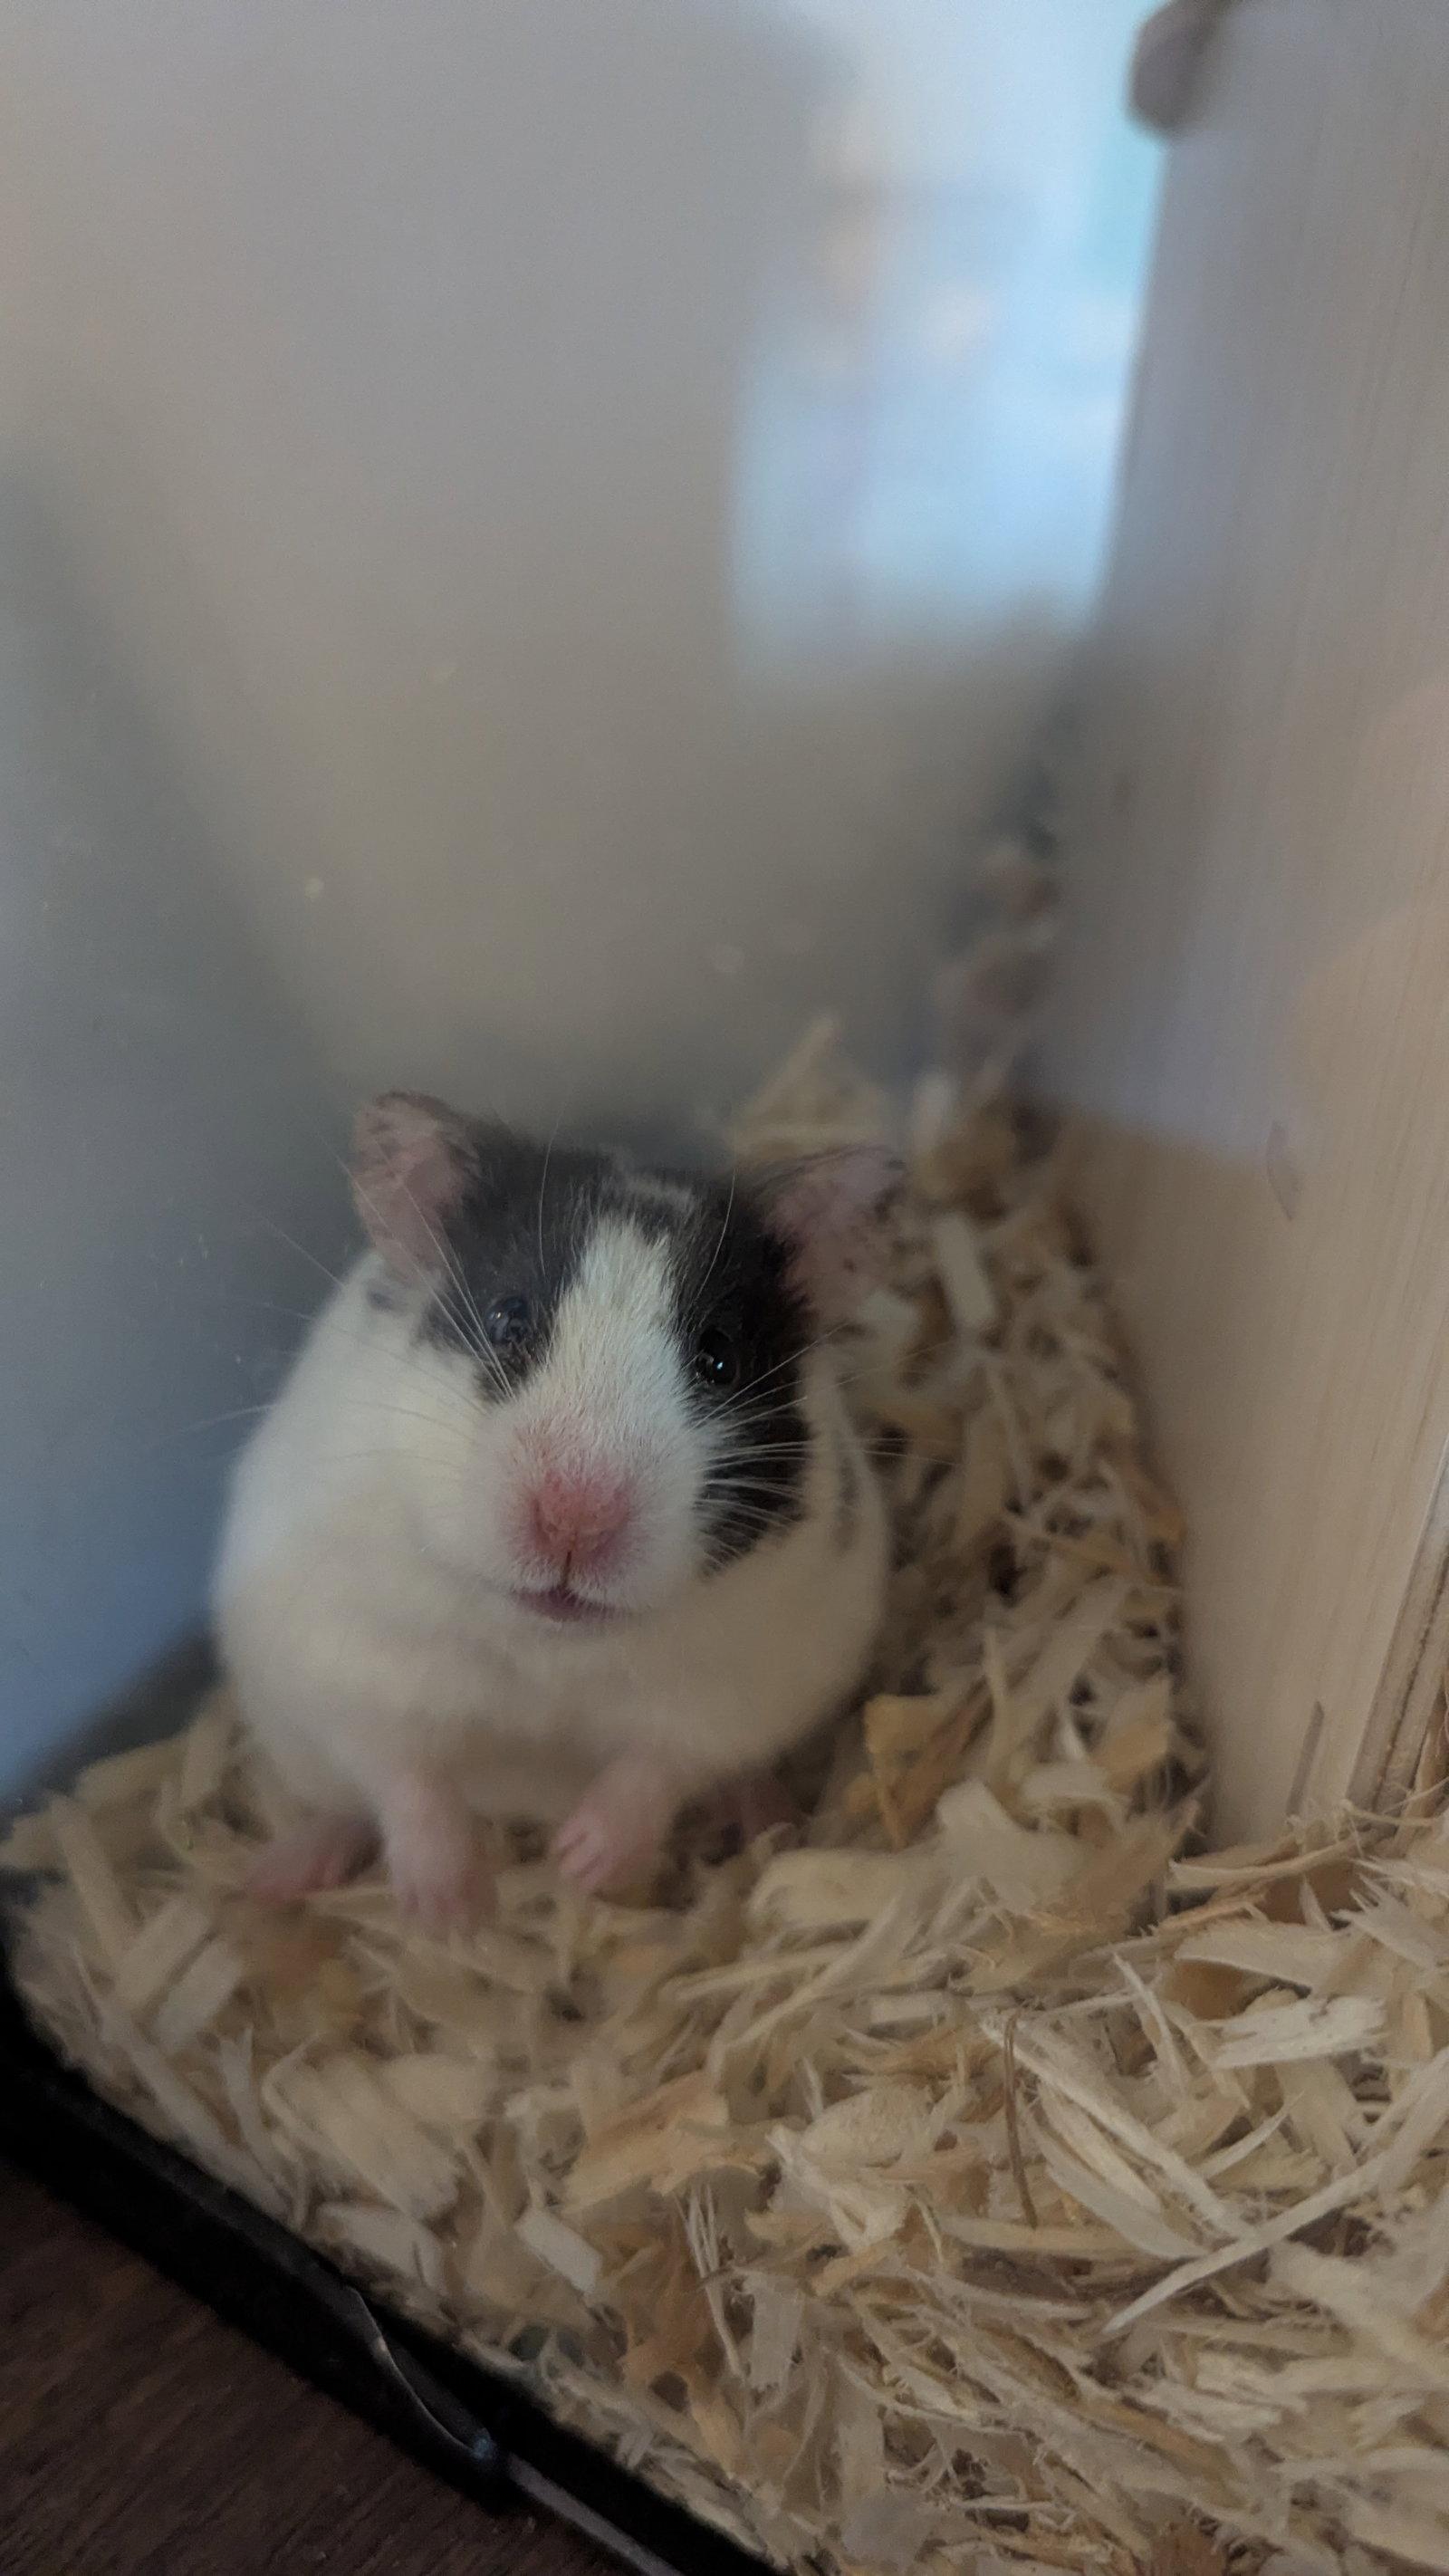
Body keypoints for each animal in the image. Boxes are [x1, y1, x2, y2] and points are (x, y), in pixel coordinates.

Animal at [215, 1090, 896, 1930]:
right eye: (508, 1319)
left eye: (719, 1358)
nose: (575, 1522)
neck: (551, 1643)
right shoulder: (355, 1665)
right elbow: (406, 1777)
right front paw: (450, 1910)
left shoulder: (742, 1685)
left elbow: (662, 1763)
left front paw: (583, 1862)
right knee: (345, 1805)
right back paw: (276, 1877)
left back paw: (766, 1819)